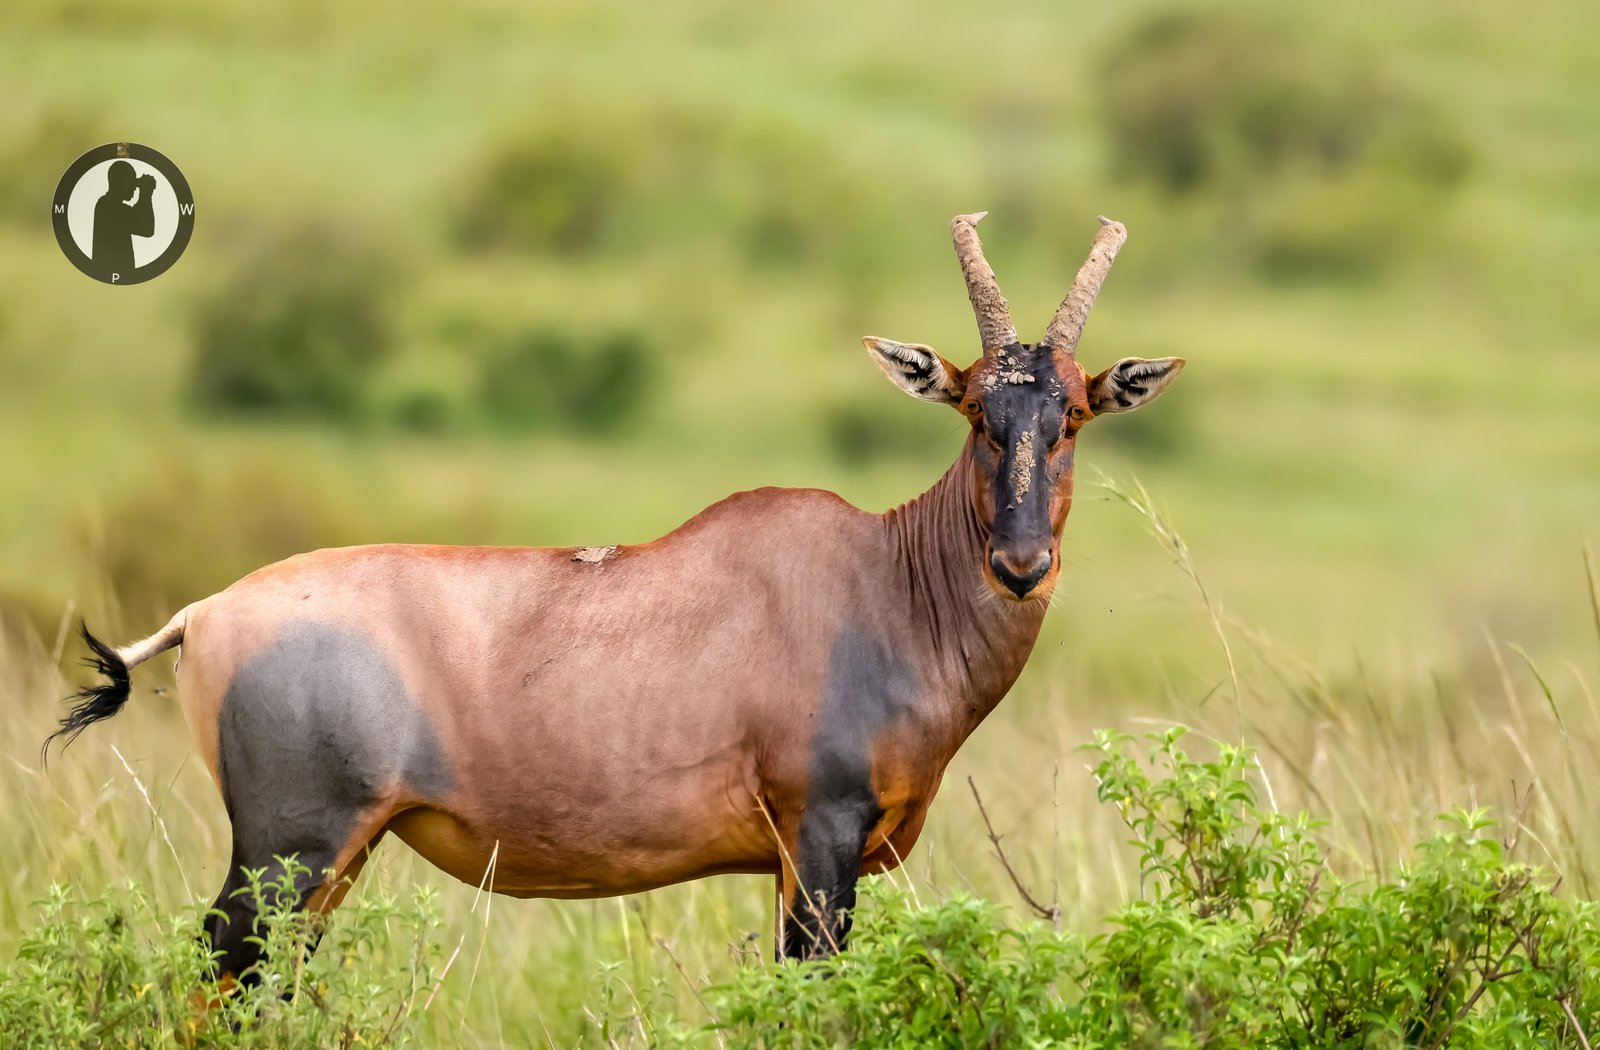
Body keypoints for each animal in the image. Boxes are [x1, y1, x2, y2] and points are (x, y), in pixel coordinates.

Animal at [47, 213, 1183, 978]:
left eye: (1073, 414)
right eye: (976, 412)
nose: (1020, 564)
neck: (879, 578)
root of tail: (205, 614)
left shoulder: (798, 860)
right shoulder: (820, 838)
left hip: (330, 863)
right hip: (285, 852)